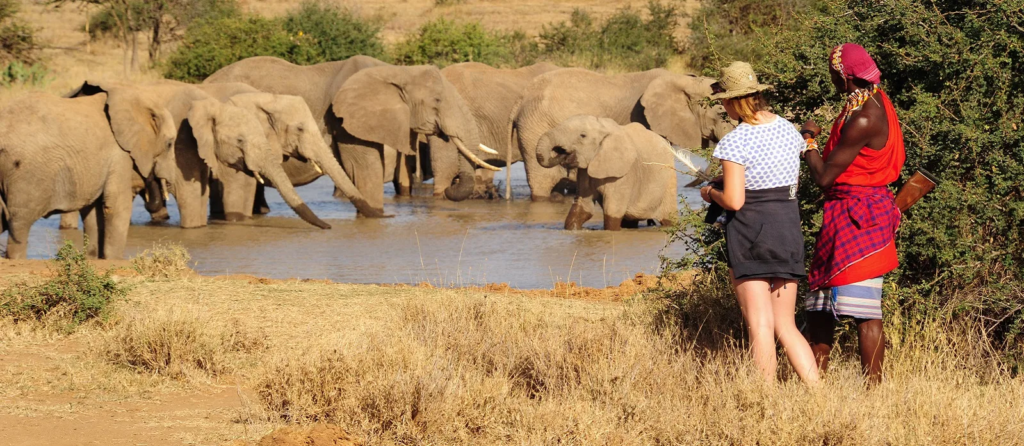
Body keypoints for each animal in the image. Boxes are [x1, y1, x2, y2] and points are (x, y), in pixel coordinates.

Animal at [0, 89, 176, 257]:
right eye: (169, 144)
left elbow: (92, 211)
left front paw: (93, 258)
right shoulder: (120, 154)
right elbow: (117, 205)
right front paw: (114, 260)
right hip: (26, 175)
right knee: (19, 224)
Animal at [505, 68, 733, 200]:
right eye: (720, 113)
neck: (684, 80)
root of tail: (521, 98)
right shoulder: (644, 119)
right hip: (535, 127)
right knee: (542, 183)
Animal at [536, 115, 679, 230]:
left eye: (582, 135)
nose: (561, 152)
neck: (603, 127)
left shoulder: (624, 175)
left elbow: (612, 212)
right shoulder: (585, 172)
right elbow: (583, 207)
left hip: (669, 181)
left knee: (668, 218)